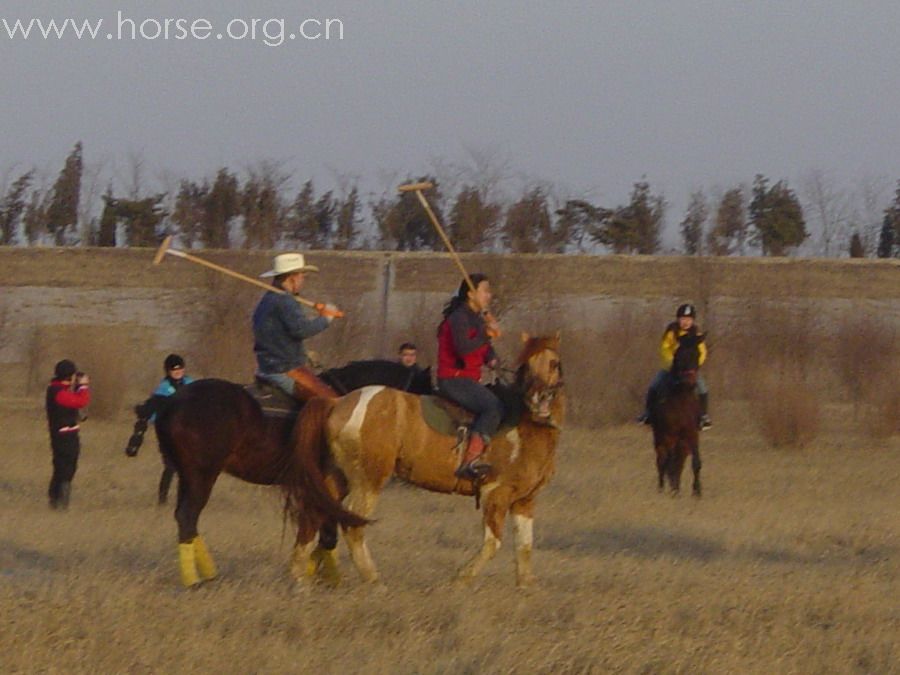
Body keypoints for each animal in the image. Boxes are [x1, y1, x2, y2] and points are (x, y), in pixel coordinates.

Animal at [286, 336, 564, 588]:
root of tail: (337, 402)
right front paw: (461, 579)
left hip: (338, 477)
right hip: (368, 481)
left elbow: (525, 545)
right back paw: (373, 580)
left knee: (315, 512)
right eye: (526, 366)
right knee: (352, 524)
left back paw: (300, 576)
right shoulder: (495, 495)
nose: (540, 399)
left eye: (554, 363)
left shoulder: (524, 501)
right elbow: (493, 542)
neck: (527, 424)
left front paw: (526, 587)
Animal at [652, 334, 704, 496]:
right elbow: (668, 464)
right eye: (680, 355)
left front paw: (697, 491)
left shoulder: (692, 434)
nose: (690, 382)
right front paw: (673, 490)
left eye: (698, 354)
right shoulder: (669, 435)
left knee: (678, 463)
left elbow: (696, 462)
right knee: (662, 461)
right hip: (660, 438)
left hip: (682, 444)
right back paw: (662, 488)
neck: (681, 399)